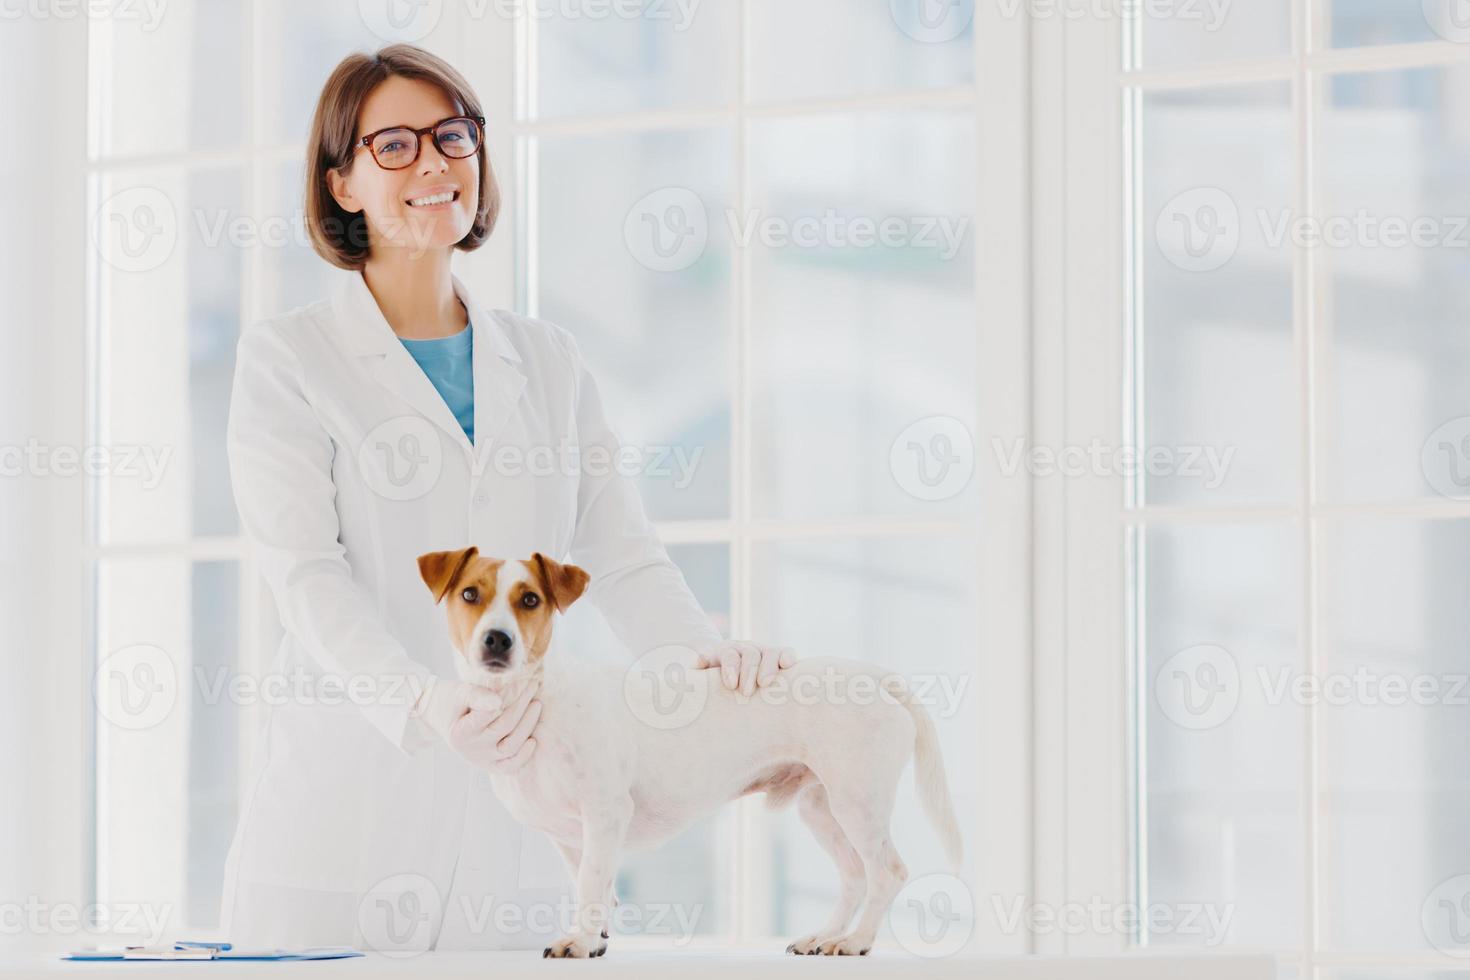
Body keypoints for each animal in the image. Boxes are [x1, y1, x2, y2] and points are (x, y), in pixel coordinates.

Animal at [417, 549, 964, 963]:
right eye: (470, 594)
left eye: (529, 599)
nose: (497, 640)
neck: (537, 696)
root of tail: (873, 675)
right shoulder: (571, 836)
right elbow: (589, 881)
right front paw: (595, 934)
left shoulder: (605, 812)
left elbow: (592, 881)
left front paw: (580, 940)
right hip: (821, 807)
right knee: (854, 875)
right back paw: (825, 935)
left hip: (857, 801)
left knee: (886, 872)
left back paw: (856, 941)